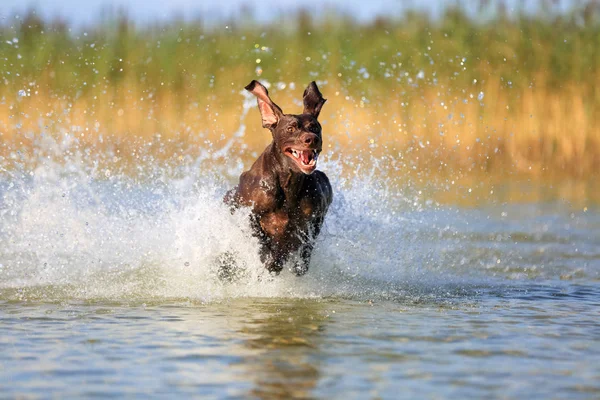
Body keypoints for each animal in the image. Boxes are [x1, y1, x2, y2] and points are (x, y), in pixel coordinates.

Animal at [225, 80, 332, 276]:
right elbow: (261, 241)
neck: (289, 184)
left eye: (315, 127)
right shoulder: (249, 214)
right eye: (290, 128)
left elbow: (305, 248)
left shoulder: (315, 219)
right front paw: (271, 261)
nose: (311, 139)